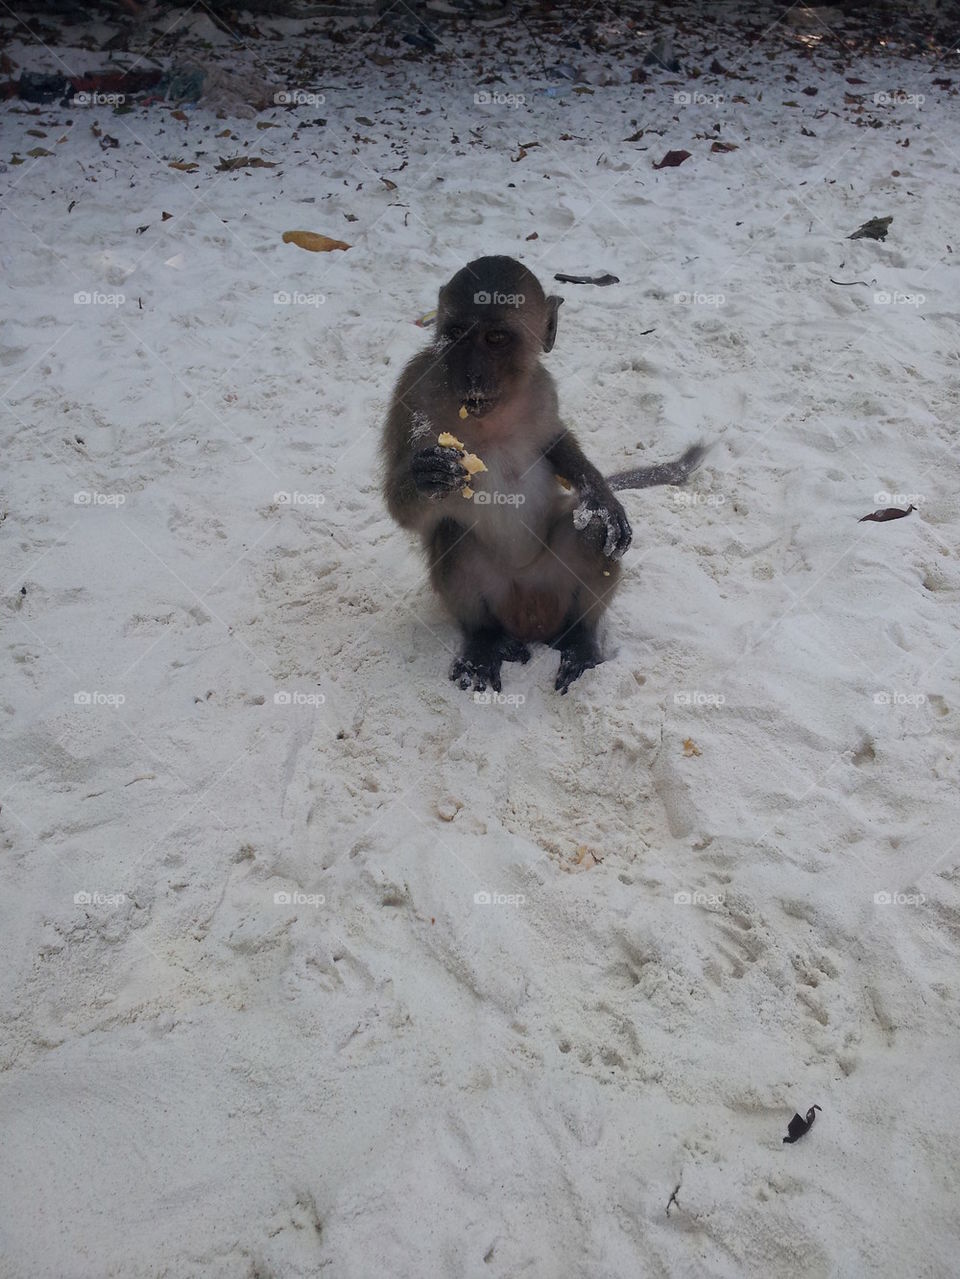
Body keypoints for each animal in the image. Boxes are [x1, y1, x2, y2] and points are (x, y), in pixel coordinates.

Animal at [382, 255, 704, 694]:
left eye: (496, 338)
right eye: (458, 334)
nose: (472, 375)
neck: (492, 415)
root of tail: (530, 623)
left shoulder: (542, 388)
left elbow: (556, 443)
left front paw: (600, 492)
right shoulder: (412, 389)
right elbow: (400, 503)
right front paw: (428, 475)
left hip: (551, 587)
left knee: (593, 533)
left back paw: (580, 638)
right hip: (500, 598)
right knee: (452, 534)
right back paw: (484, 642)